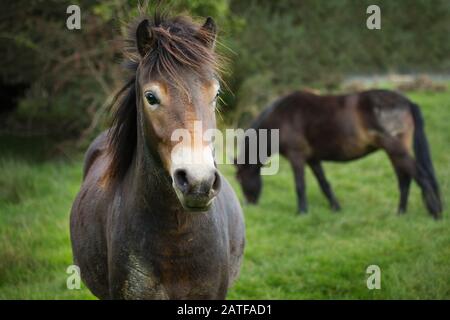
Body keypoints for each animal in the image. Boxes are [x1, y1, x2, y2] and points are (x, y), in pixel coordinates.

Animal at [236, 90, 442, 220]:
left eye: (240, 179)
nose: (248, 205)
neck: (282, 117)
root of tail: (407, 102)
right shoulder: (313, 159)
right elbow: (324, 183)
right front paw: (336, 207)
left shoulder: (297, 157)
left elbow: (300, 186)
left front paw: (302, 212)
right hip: (394, 152)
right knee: (405, 180)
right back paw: (400, 213)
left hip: (396, 150)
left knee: (422, 177)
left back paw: (435, 213)